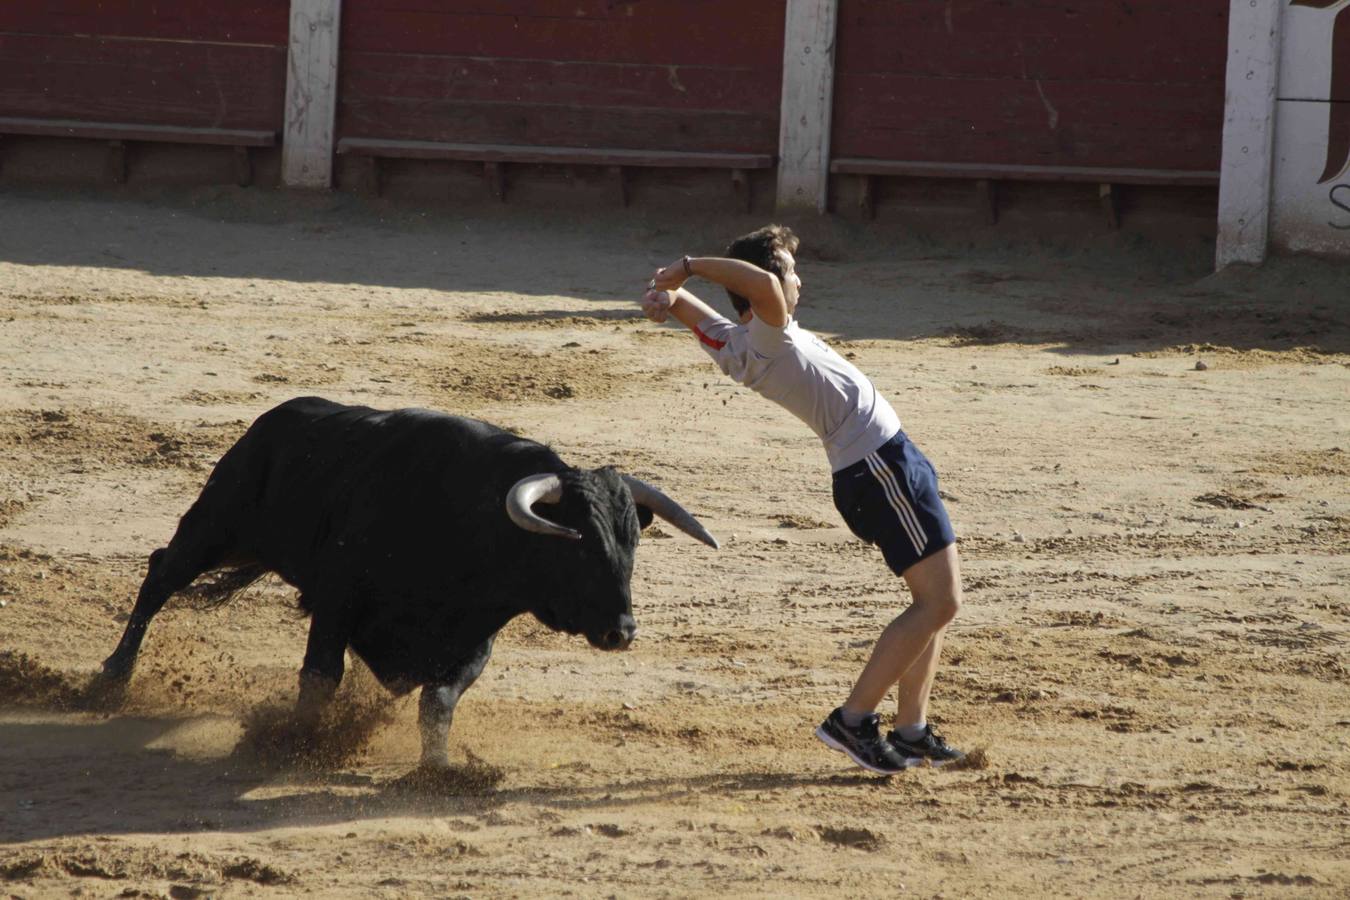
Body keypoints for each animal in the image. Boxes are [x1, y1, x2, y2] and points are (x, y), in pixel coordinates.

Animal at [98, 396, 718, 771]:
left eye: (631, 543)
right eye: (579, 543)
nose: (622, 631)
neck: (470, 525)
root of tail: (278, 419)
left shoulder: (474, 639)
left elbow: (437, 701)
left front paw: (439, 769)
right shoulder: (339, 600)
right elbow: (321, 676)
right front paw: (295, 744)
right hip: (217, 526)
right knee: (160, 574)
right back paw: (110, 679)